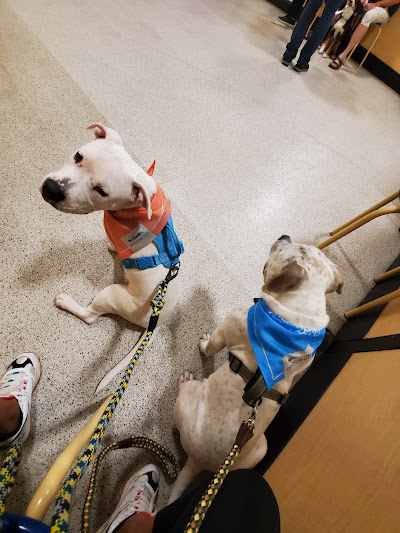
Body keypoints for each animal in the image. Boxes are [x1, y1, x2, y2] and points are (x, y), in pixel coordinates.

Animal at [39, 124, 184, 390]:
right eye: (78, 156)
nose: (51, 188)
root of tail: (159, 320)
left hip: (111, 293)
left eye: (102, 191)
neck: (133, 208)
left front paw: (110, 248)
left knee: (90, 316)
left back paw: (66, 302)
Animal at [170, 237, 342, 502]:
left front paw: (203, 345)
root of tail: (197, 462)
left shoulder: (226, 330)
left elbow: (209, 347)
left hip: (190, 396)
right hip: (262, 448)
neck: (298, 315)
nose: (284, 236)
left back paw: (183, 382)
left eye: (286, 249)